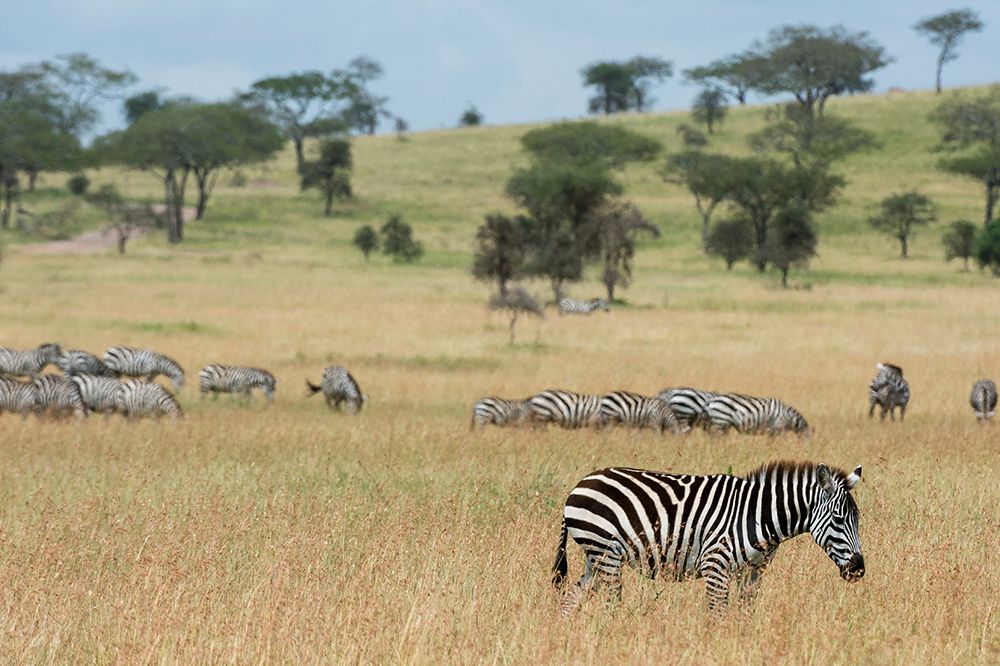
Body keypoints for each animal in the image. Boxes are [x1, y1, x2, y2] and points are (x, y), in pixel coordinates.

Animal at [552, 461, 865, 616]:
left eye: (857, 520)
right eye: (838, 519)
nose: (859, 570)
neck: (759, 515)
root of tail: (580, 484)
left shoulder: (753, 572)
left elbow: (745, 614)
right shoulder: (715, 565)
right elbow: (718, 615)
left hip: (596, 556)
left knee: (570, 600)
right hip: (606, 553)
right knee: (611, 604)